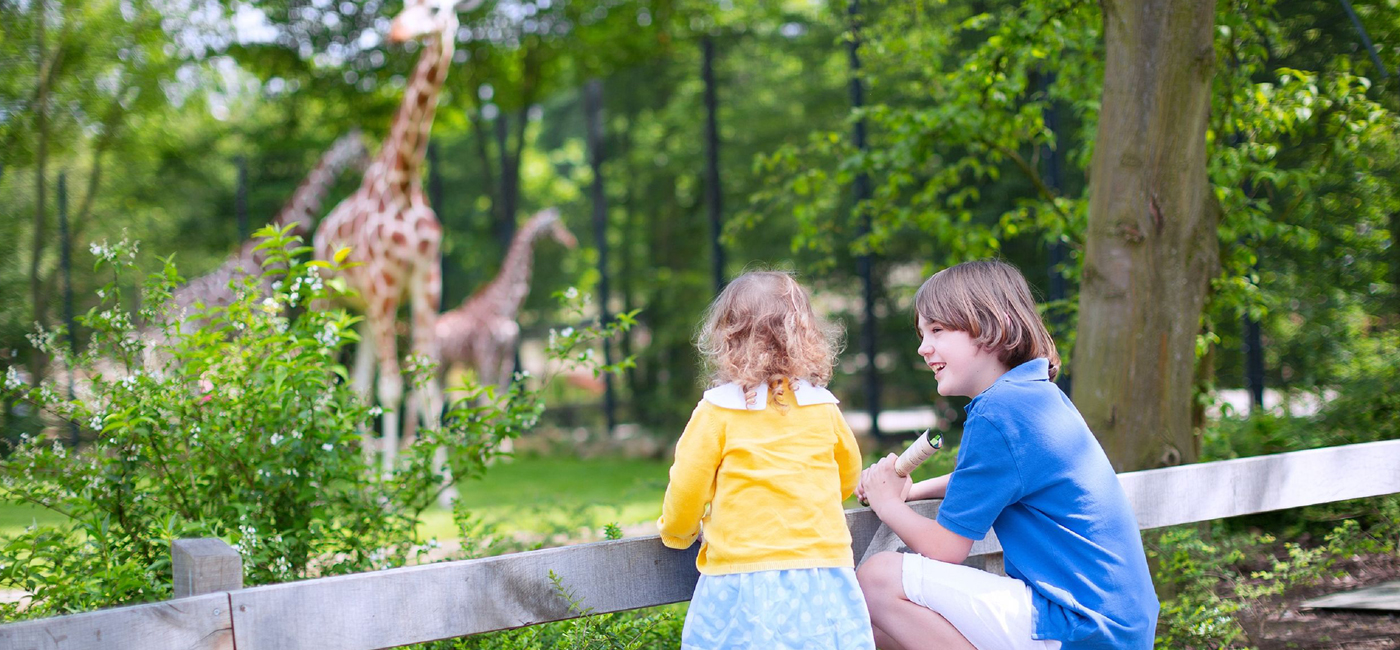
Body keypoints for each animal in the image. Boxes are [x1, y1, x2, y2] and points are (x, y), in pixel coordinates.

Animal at [312, 0, 464, 473]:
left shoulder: (426, 281)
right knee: (322, 377)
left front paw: (445, 485)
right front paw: (393, 484)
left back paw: (365, 476)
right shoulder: (384, 287)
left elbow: (427, 382)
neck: (403, 182)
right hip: (330, 302)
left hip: (360, 313)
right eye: (403, 7)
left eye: (435, 10)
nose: (396, 34)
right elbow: (393, 388)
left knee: (357, 385)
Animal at [431, 210, 574, 389]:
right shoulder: (485, 354)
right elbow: (486, 391)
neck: (507, 308)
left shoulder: (508, 353)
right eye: (553, 226)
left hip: (447, 364)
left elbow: (502, 391)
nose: (570, 240)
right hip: (436, 360)